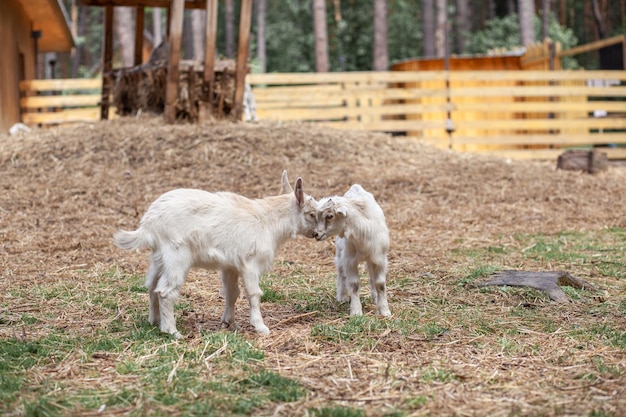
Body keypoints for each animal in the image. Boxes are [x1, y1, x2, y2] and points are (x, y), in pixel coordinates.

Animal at [314, 184, 388, 316]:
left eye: (330, 216)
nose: (316, 234)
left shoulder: (379, 258)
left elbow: (380, 284)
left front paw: (384, 311)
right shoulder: (350, 260)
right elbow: (354, 285)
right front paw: (356, 311)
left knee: (371, 275)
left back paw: (375, 297)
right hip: (340, 251)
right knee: (341, 272)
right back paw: (342, 297)